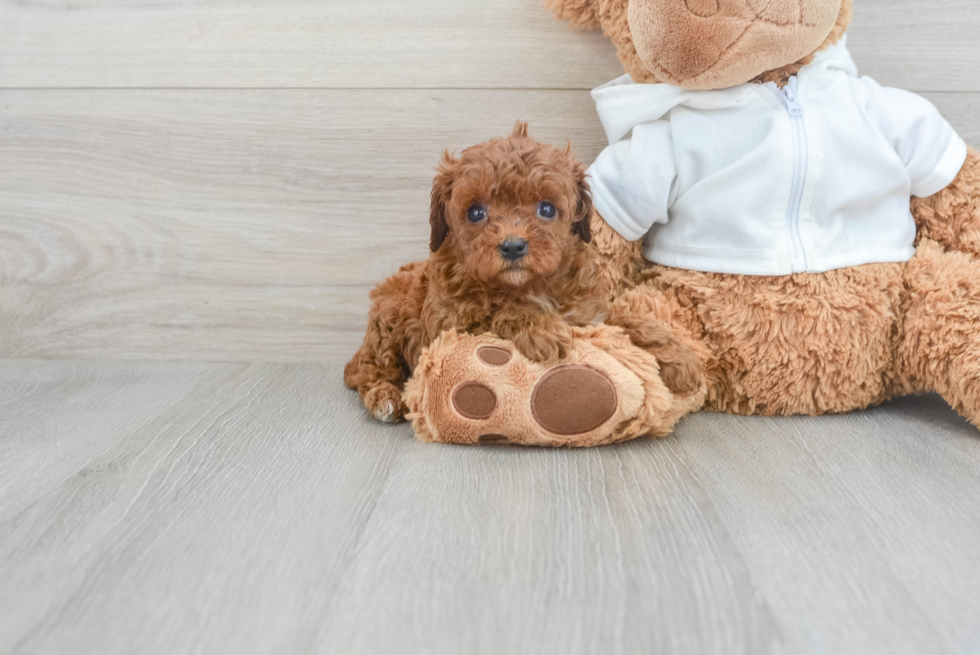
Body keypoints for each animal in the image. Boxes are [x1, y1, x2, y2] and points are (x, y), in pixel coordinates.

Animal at [344, 121, 696, 422]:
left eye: (547, 209)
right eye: (475, 212)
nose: (512, 246)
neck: (530, 285)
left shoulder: (591, 312)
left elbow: (628, 319)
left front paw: (677, 355)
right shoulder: (450, 325)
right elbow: (501, 310)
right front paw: (542, 328)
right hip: (389, 319)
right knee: (370, 368)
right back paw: (384, 398)